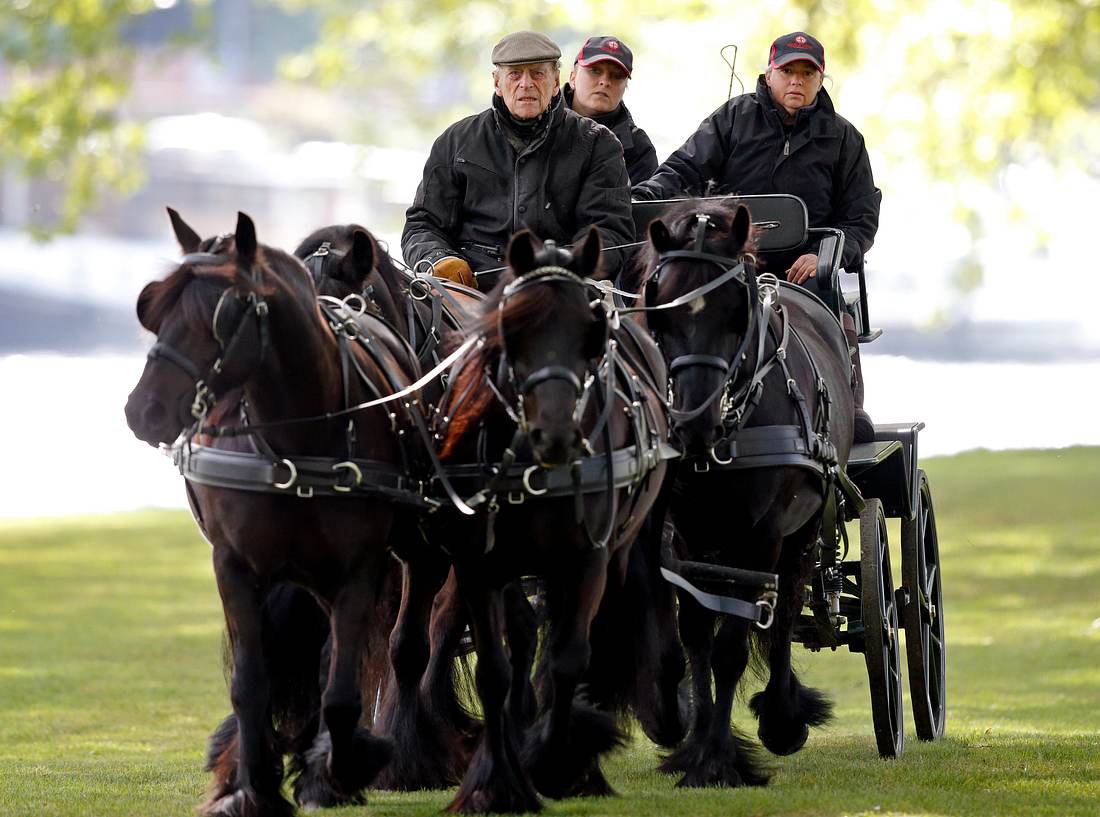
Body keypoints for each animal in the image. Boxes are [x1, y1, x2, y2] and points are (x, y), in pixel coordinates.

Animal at [633, 197, 853, 787]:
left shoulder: (761, 537)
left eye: (736, 310)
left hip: (803, 531)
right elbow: (695, 635)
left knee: (787, 611)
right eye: (658, 309)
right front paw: (693, 746)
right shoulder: (682, 535)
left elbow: (732, 646)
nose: (694, 421)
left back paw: (782, 718)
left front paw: (717, 759)